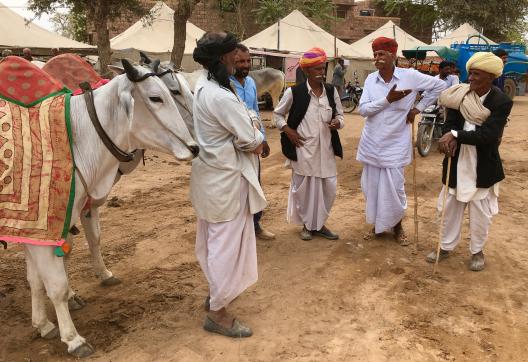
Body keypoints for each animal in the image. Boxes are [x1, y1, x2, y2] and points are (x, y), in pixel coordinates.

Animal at [22, 60, 198, 358]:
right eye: (159, 96)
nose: (195, 146)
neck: (78, 138)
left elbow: (48, 271)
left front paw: (45, 322)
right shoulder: (47, 224)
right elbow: (55, 282)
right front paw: (73, 338)